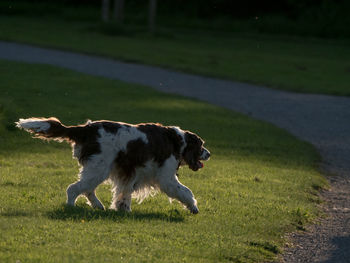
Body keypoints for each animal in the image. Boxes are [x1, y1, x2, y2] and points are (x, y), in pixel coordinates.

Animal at [15, 117, 211, 214]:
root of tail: (85, 129)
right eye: (201, 146)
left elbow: (124, 194)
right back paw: (71, 207)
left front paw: (122, 209)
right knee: (74, 188)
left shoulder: (130, 174)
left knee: (87, 189)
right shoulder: (166, 178)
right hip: (99, 168)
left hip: (97, 168)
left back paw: (98, 206)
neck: (177, 142)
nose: (209, 154)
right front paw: (193, 207)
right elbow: (185, 192)